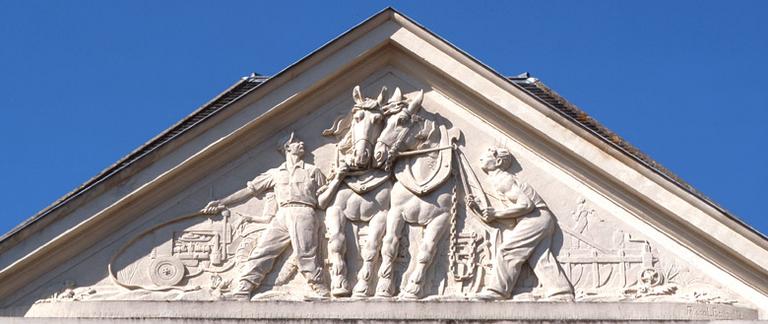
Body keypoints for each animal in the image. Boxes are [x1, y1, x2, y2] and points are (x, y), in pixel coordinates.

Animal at [320, 85, 392, 296]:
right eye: (358, 117)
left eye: (379, 120)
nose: (361, 155)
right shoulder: (334, 210)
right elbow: (337, 243)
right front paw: (340, 284)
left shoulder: (381, 215)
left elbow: (372, 248)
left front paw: (363, 287)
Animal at [374, 88, 462, 298]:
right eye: (384, 121)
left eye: (401, 120)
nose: (377, 154)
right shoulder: (396, 212)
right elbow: (389, 245)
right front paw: (383, 287)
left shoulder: (441, 219)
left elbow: (426, 252)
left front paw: (413, 289)